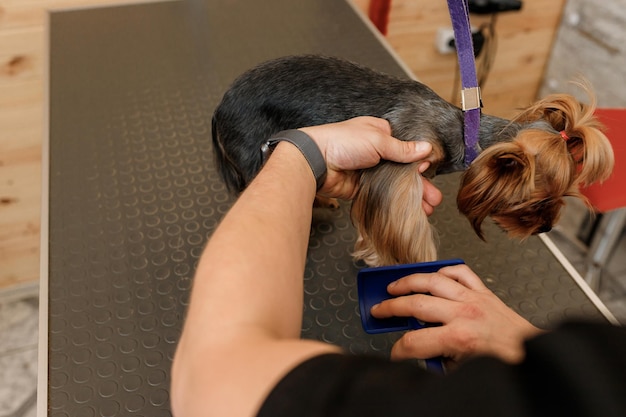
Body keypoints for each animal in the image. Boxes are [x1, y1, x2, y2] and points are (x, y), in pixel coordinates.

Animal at [212, 54, 612, 266]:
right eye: (539, 202)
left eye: (562, 199)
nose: (546, 227)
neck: (461, 132)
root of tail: (219, 109)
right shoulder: (399, 158)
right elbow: (401, 224)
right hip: (253, 154)